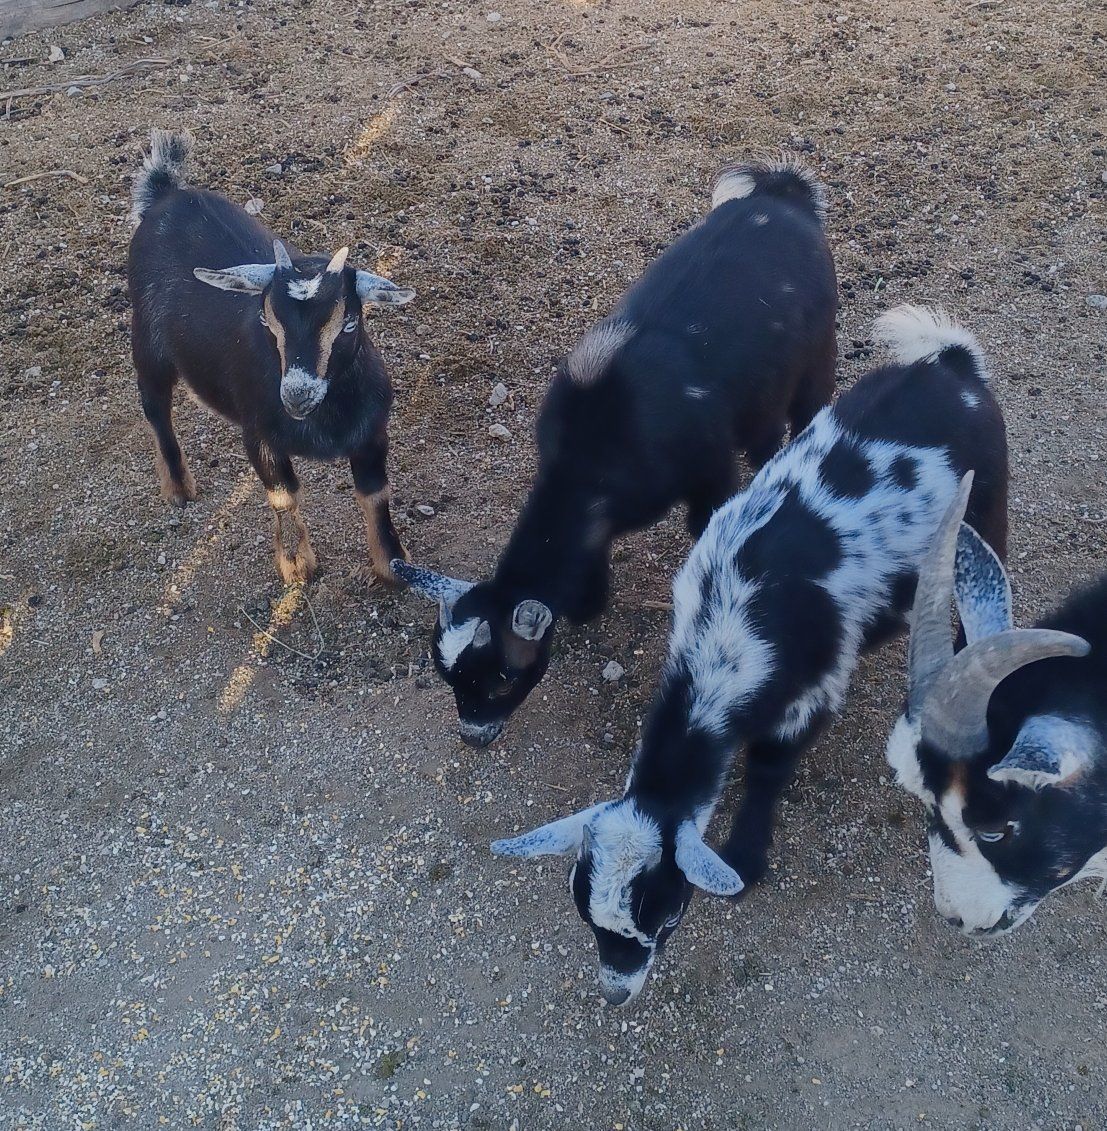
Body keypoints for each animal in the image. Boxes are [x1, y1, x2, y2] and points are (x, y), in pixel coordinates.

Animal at [127, 129, 415, 585]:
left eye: (350, 323)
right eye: (266, 319)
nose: (297, 396)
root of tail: (165, 195)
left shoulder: (372, 432)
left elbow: (375, 495)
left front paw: (394, 562)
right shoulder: (259, 433)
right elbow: (283, 495)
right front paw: (297, 565)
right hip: (146, 338)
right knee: (155, 407)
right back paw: (177, 486)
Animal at [396, 158, 838, 745]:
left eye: (502, 679)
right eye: (449, 678)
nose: (473, 734)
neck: (592, 455)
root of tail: (783, 195)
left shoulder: (709, 467)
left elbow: (708, 522)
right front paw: (590, 603)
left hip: (818, 351)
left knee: (810, 411)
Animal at [492, 305, 1009, 1005]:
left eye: (665, 911)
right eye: (585, 914)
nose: (616, 992)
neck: (724, 635)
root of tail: (951, 365)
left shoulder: (814, 687)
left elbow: (769, 767)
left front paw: (745, 857)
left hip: (987, 507)